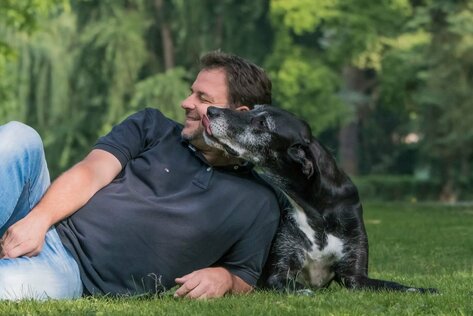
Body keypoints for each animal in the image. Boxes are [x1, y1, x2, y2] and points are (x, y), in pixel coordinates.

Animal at [201, 104, 436, 294]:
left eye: (262, 123)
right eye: (252, 109)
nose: (211, 110)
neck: (317, 209)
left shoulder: (355, 276)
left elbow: (393, 285)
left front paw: (421, 289)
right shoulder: (277, 273)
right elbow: (291, 284)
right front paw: (302, 291)